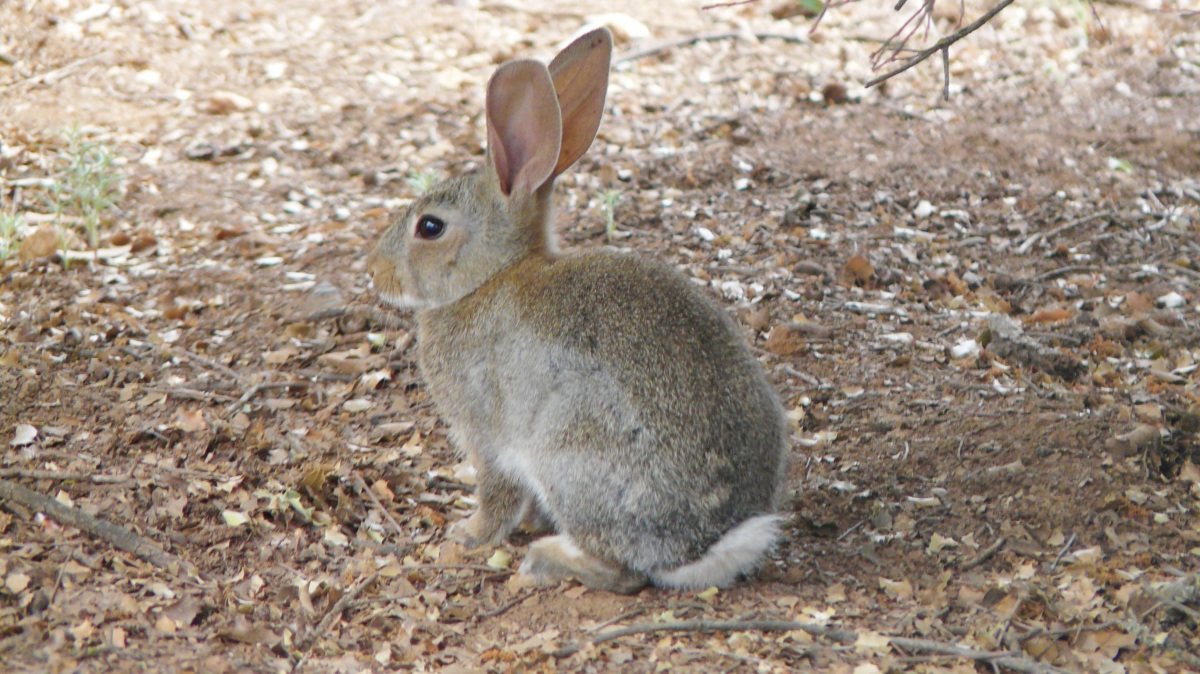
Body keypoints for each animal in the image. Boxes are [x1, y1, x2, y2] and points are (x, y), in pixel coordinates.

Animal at [369, 28, 792, 590]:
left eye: (430, 227)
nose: (374, 271)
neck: (489, 278)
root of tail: (704, 545)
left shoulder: (487, 433)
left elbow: (497, 492)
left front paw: (467, 535)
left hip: (570, 450)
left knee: (622, 571)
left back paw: (547, 558)